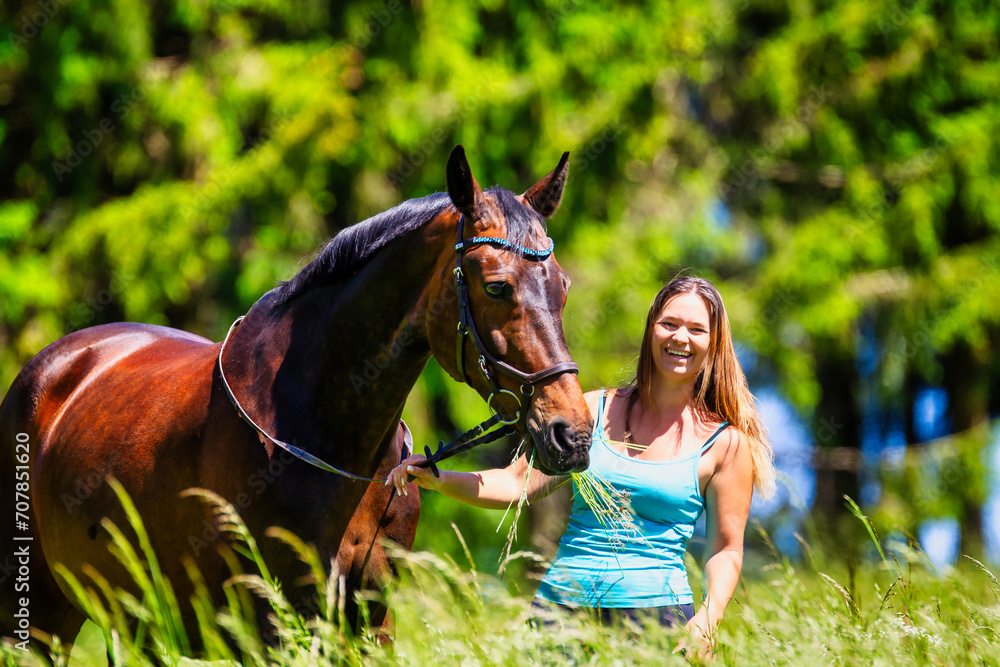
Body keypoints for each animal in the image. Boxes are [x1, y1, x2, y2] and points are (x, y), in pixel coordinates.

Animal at [0, 145, 592, 646]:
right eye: (496, 286)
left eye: (563, 286)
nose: (573, 434)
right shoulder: (269, 623)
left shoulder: (373, 620)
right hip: (37, 615)